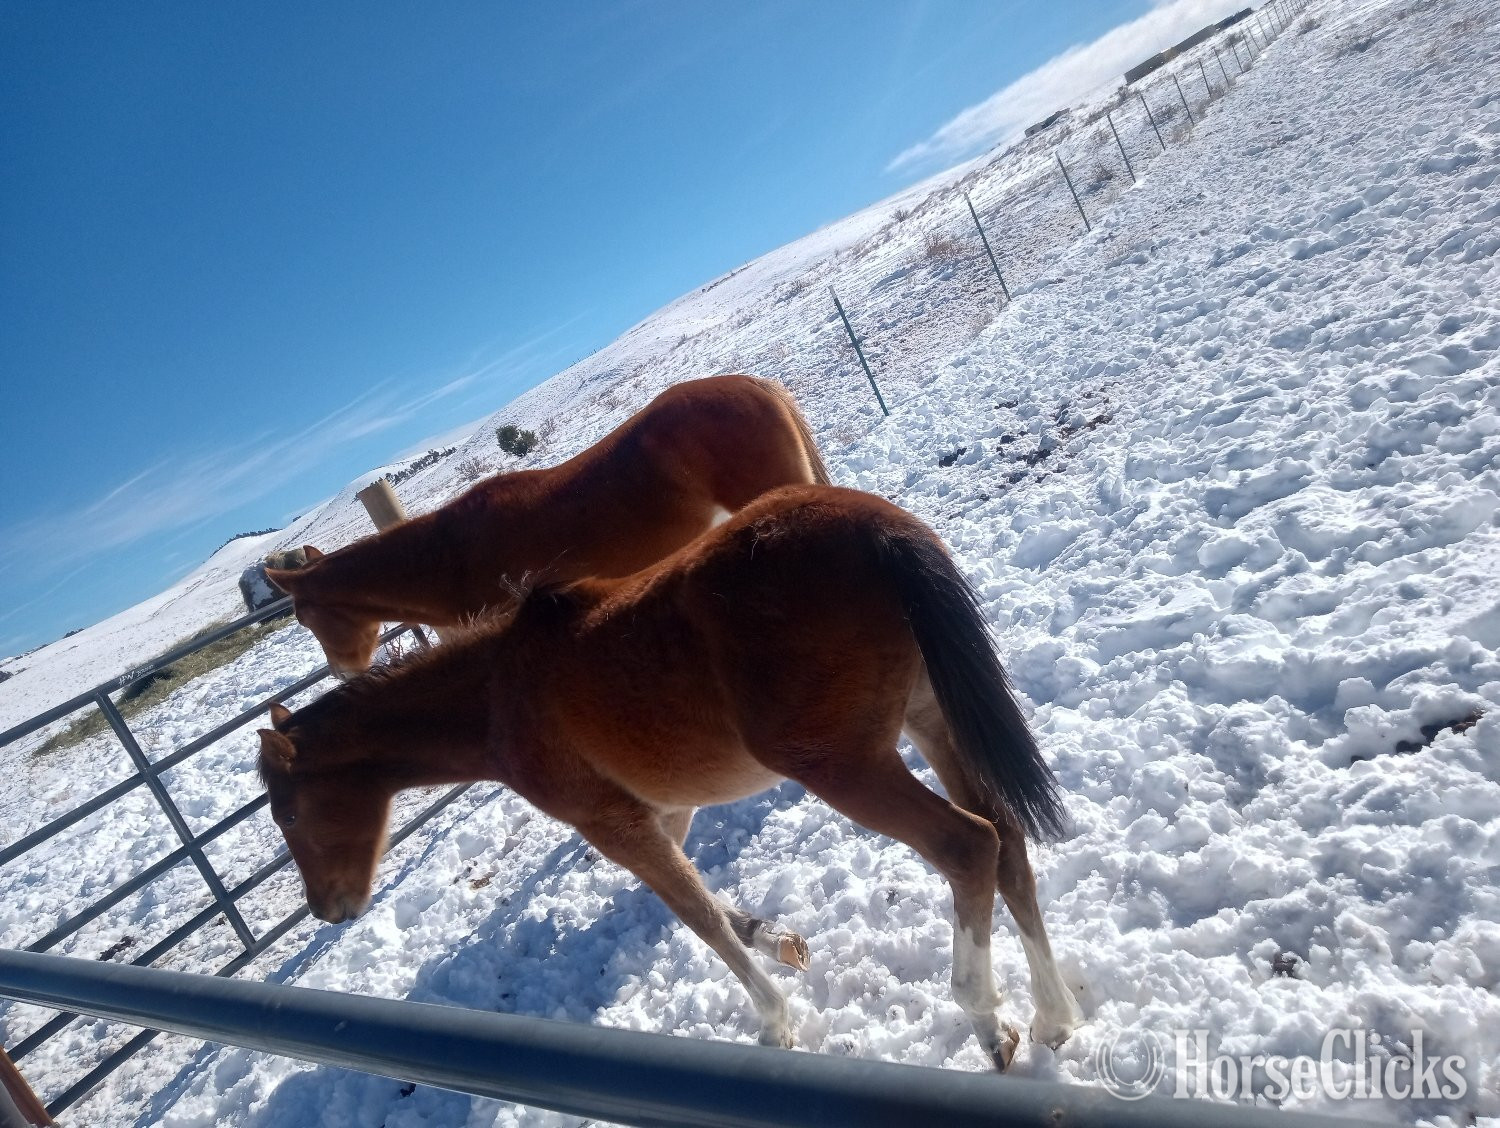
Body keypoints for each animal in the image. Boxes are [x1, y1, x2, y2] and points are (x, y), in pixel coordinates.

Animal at [257, 485, 1083, 1068]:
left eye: (289, 816)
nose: (329, 908)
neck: (498, 693)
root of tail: (878, 529)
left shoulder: (612, 825)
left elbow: (699, 919)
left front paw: (774, 1024)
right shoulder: (663, 809)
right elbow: (708, 901)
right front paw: (777, 937)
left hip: (845, 765)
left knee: (968, 847)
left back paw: (988, 1022)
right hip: (931, 723)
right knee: (1008, 840)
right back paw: (1056, 1016)